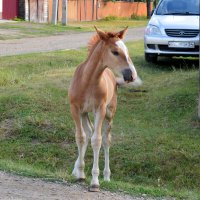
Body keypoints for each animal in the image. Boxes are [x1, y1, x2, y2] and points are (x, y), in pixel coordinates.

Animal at [68, 26, 138, 191]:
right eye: (115, 51)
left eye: (127, 50)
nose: (131, 75)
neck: (87, 81)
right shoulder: (75, 109)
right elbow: (80, 137)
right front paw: (80, 173)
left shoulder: (100, 110)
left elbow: (97, 140)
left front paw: (95, 181)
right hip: (85, 113)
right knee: (87, 133)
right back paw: (76, 169)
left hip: (109, 113)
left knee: (106, 140)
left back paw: (106, 176)